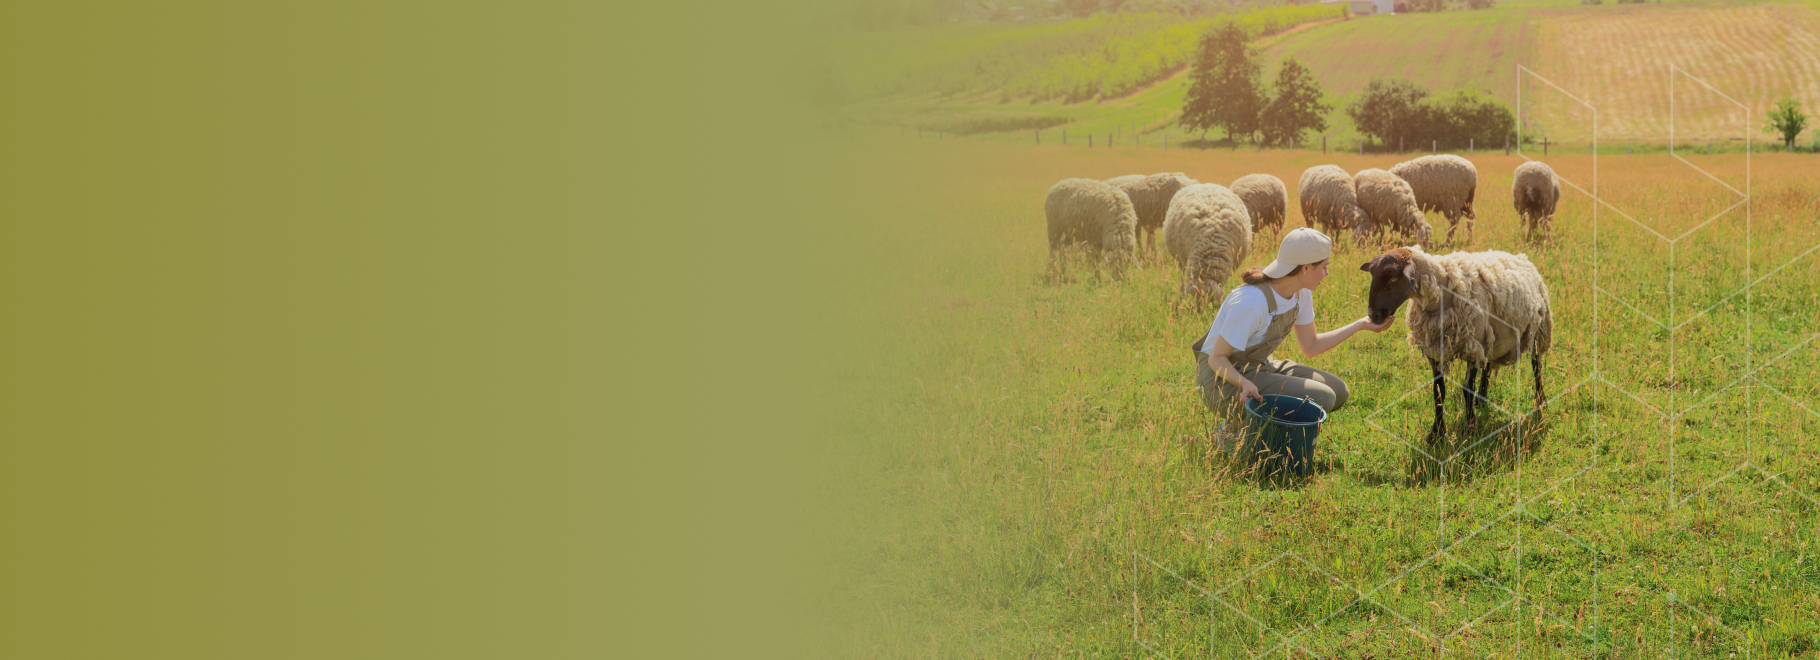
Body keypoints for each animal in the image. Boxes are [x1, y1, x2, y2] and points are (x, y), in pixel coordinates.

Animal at [1361, 245, 1557, 441]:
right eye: (1372, 275)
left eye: (1393, 278)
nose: (1373, 315)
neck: (1442, 292)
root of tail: (1520, 256)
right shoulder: (1436, 351)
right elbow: (1438, 391)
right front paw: (1436, 433)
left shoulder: (1472, 348)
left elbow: (1466, 388)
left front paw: (1469, 427)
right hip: (1491, 337)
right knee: (1487, 365)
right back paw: (1481, 400)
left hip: (1538, 331)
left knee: (1536, 366)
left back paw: (1540, 401)